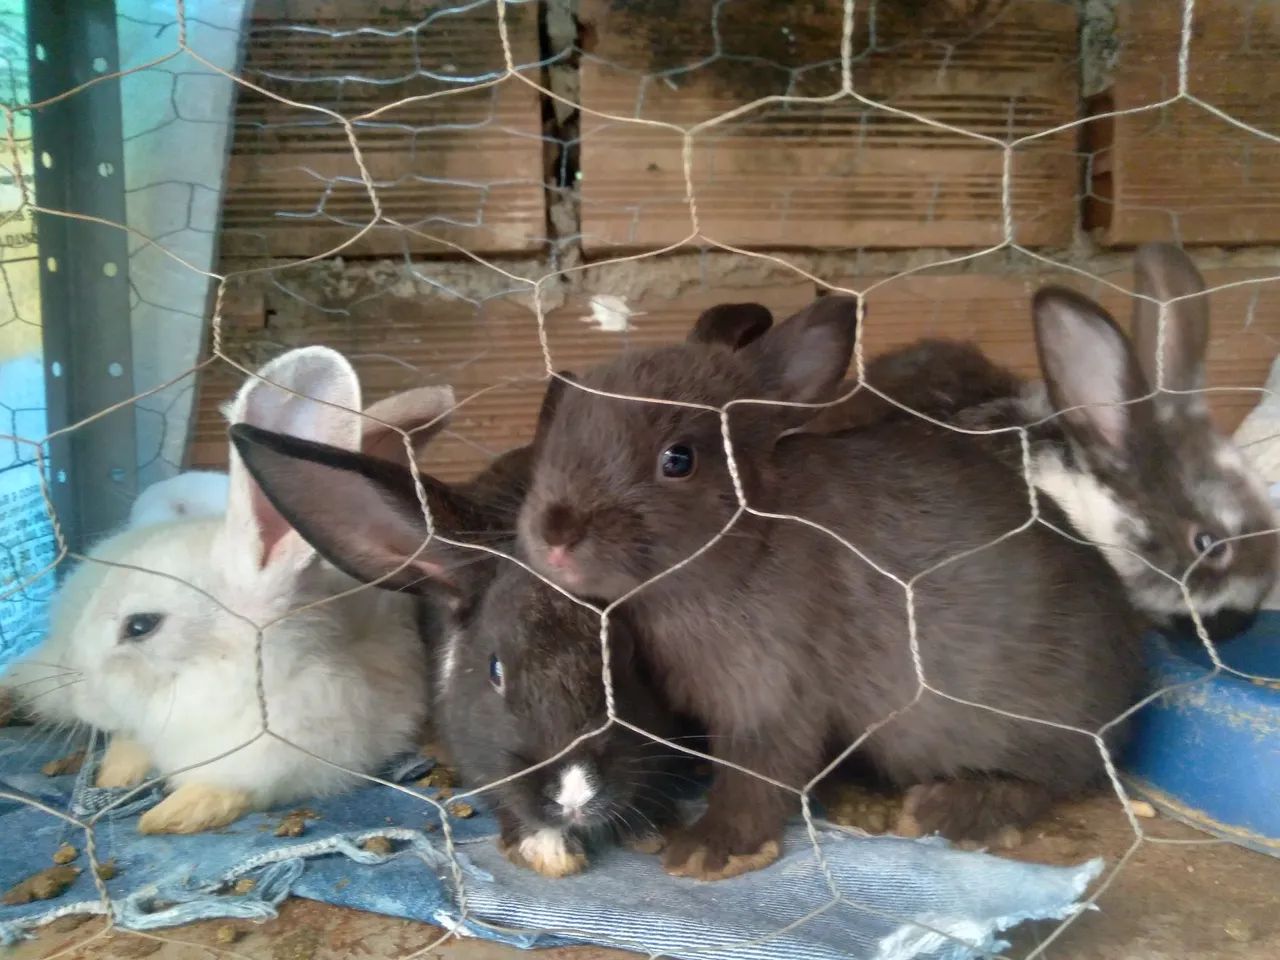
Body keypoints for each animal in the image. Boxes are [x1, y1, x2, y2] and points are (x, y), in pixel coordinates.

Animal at [8, 347, 449, 834]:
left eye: (140, 626)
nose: (78, 694)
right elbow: (131, 743)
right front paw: (118, 775)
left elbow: (233, 789)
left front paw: (172, 814)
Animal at [505, 294, 1145, 881]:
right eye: (558, 430)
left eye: (678, 459)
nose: (555, 534)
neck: (748, 540)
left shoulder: (772, 702)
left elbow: (757, 778)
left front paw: (709, 850)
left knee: (1050, 778)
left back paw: (951, 806)